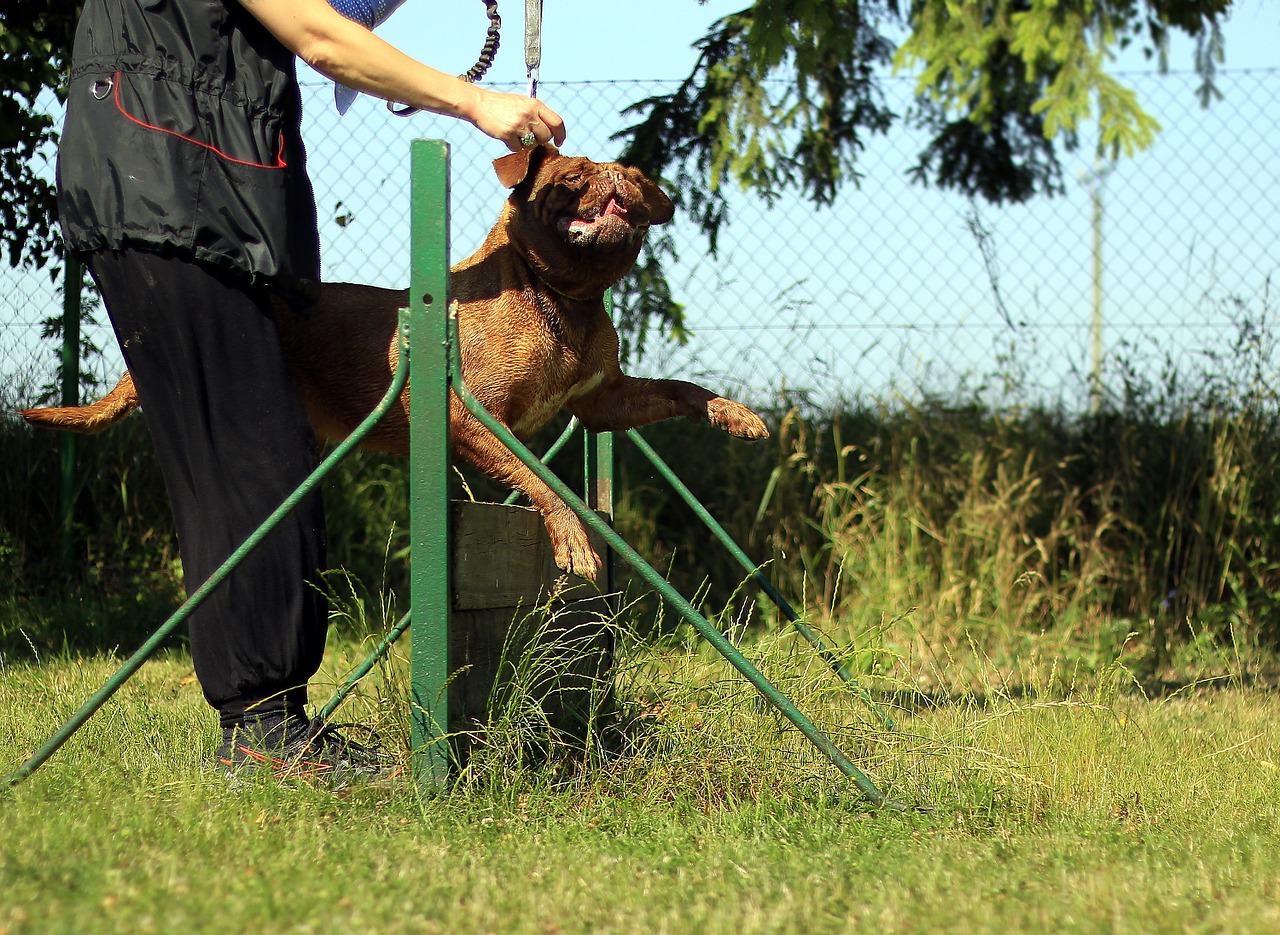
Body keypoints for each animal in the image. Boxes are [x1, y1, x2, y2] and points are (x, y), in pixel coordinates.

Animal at [22, 146, 768, 578]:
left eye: (631, 180)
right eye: (573, 176)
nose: (622, 179)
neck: (562, 296)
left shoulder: (602, 400)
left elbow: (678, 387)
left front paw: (735, 415)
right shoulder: (474, 415)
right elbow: (539, 476)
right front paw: (574, 538)